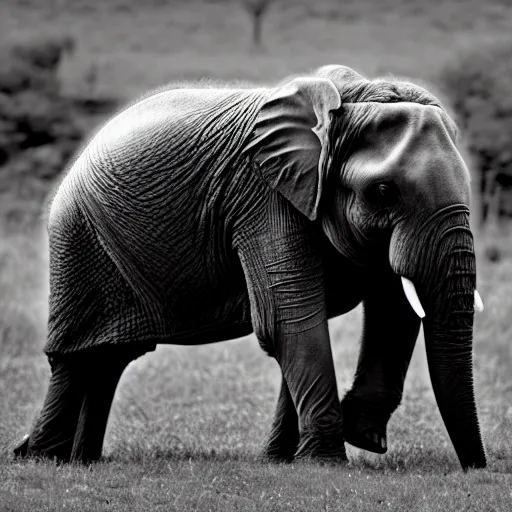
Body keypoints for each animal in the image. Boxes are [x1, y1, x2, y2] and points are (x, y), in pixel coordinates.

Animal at [14, 66, 486, 470]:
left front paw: (294, 458)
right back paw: (42, 460)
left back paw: (82, 460)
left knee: (109, 359)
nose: (477, 470)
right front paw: (327, 463)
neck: (345, 104)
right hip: (78, 239)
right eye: (383, 191)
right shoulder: (262, 197)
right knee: (73, 359)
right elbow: (290, 320)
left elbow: (388, 307)